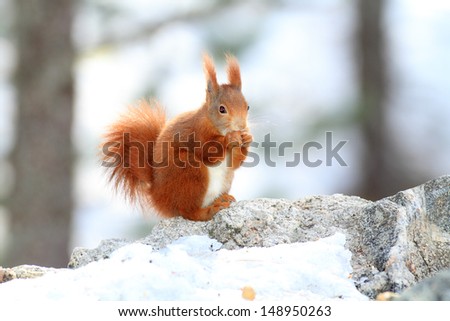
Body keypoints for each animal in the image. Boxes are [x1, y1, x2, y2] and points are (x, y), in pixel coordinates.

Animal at [100, 54, 253, 220]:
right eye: (222, 109)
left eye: (247, 107)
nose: (241, 126)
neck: (215, 125)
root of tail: (157, 196)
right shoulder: (196, 133)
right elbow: (209, 153)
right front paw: (230, 138)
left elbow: (234, 163)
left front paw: (247, 138)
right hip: (188, 171)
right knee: (188, 211)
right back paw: (209, 210)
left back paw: (222, 198)